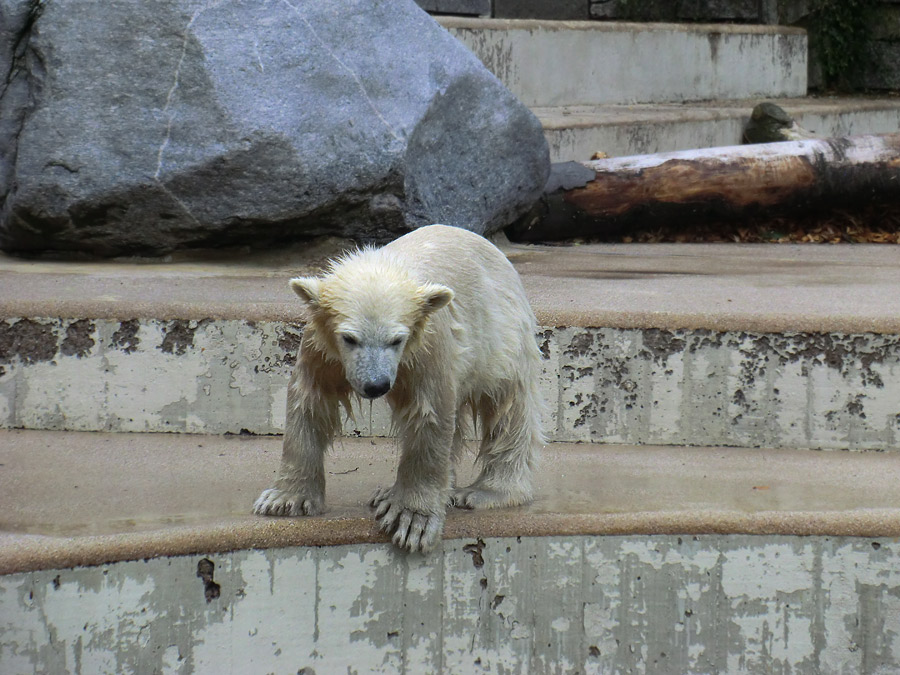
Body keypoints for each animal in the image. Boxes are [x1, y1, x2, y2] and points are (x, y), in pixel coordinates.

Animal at [256, 224, 544, 552]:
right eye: (349, 338)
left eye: (396, 340)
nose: (376, 385)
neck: (385, 265)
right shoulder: (321, 347)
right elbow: (310, 402)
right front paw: (285, 499)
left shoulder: (427, 343)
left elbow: (428, 413)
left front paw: (411, 518)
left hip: (503, 336)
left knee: (508, 407)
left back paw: (484, 492)